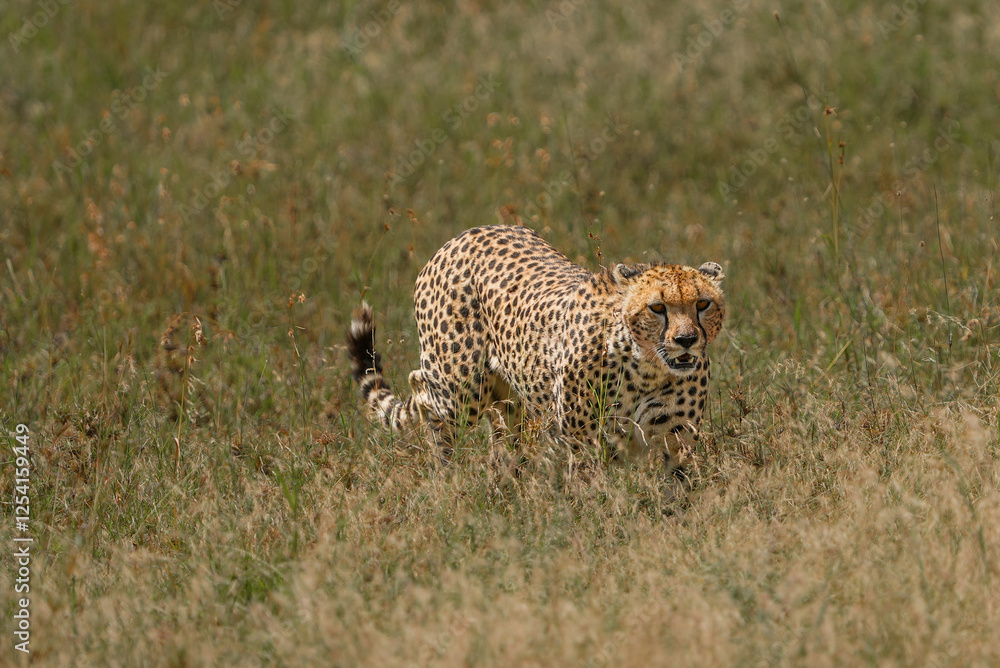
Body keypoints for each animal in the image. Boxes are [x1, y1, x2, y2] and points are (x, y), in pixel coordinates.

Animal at [346, 224, 725, 471]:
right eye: (657, 307)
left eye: (702, 304)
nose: (686, 340)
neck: (646, 368)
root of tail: (467, 234)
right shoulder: (583, 440)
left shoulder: (675, 441)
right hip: (462, 386)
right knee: (423, 392)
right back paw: (446, 470)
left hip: (507, 398)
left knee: (502, 433)